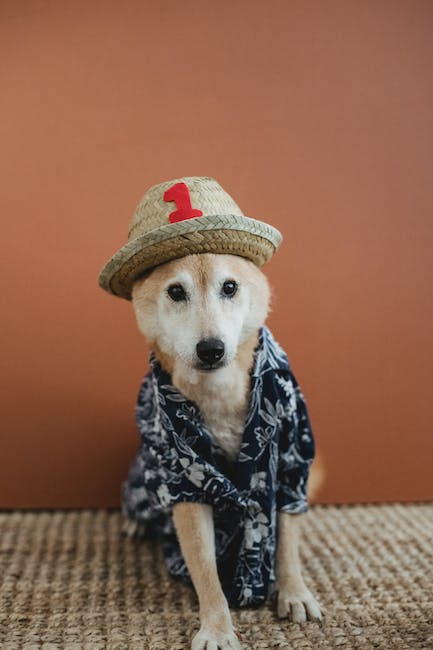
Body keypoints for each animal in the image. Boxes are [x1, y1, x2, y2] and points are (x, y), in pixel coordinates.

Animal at [126, 251, 322, 644]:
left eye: (229, 287)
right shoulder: (188, 480)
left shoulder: (291, 461)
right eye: (176, 291)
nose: (211, 349)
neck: (219, 394)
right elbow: (204, 567)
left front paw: (294, 591)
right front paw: (217, 628)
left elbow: (288, 542)